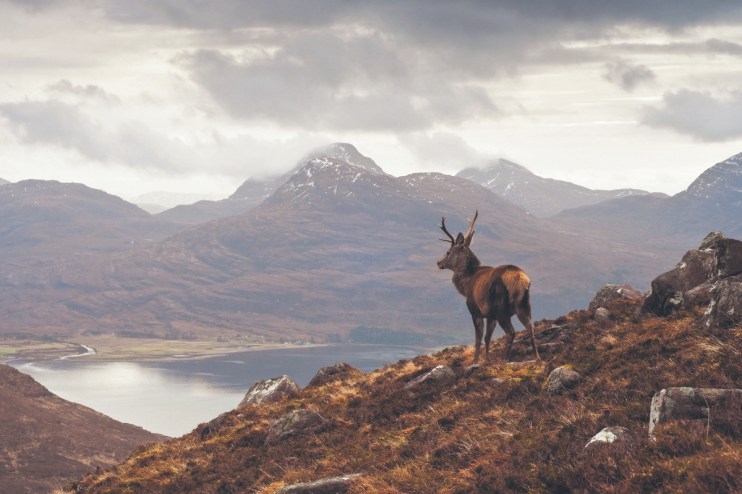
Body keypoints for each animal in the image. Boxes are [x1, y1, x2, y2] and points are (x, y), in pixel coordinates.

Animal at [437, 211, 540, 362]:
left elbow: (478, 338)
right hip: (524, 304)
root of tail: (519, 279)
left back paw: (504, 359)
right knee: (530, 327)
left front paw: (476, 361)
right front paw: (487, 359)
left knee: (511, 332)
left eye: (448, 252)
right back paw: (537, 357)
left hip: (501, 307)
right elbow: (487, 337)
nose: (439, 263)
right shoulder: (491, 315)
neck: (465, 285)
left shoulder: (475, 310)